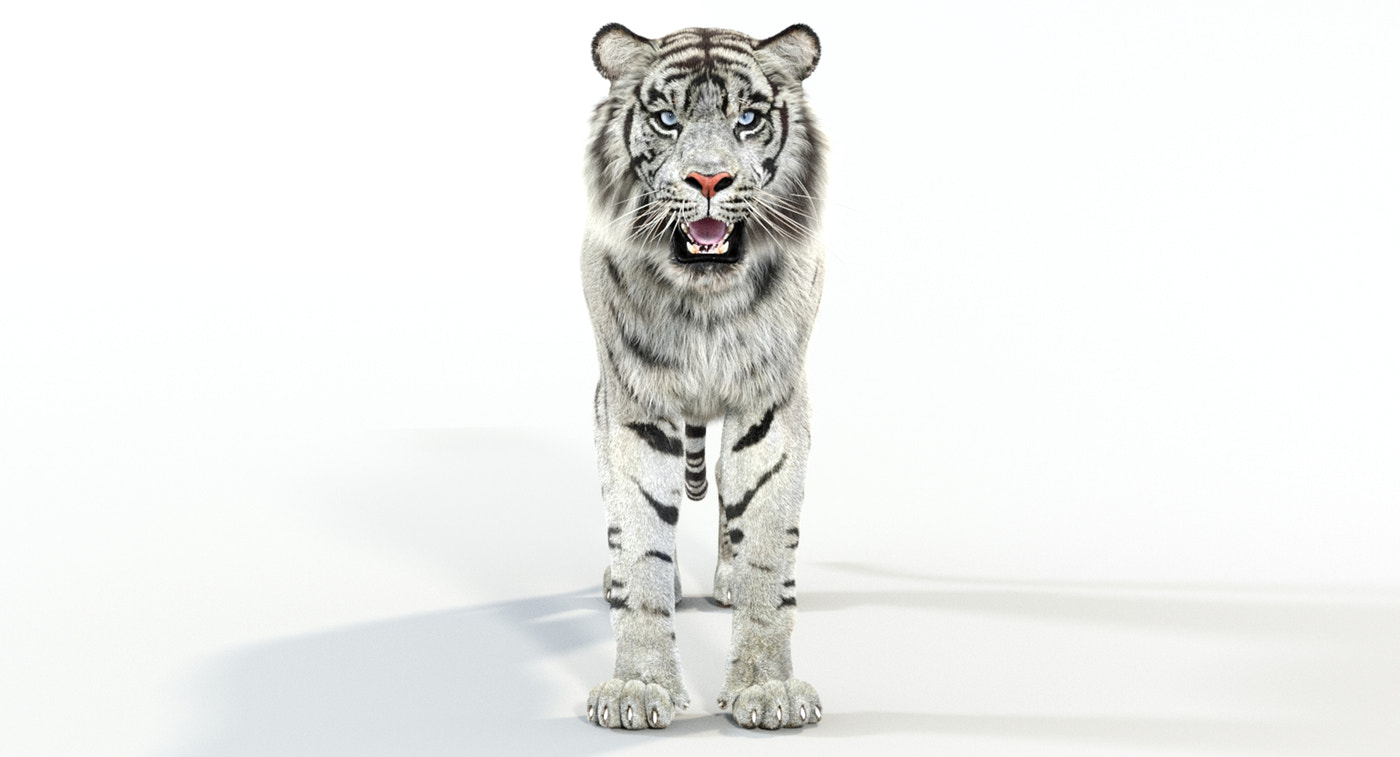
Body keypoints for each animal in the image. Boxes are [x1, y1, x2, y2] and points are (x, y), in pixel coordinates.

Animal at [580, 23, 827, 730]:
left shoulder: (772, 402)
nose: (710, 178)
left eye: (747, 120)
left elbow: (768, 545)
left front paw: (768, 690)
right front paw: (638, 688)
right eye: (668, 120)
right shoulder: (632, 402)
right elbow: (640, 541)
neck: (704, 301)